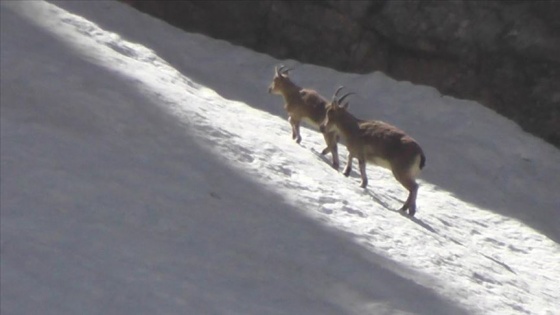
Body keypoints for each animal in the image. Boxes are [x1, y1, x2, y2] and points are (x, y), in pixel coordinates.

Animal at [322, 87, 426, 216]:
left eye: (330, 113)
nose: (322, 127)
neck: (355, 128)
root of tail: (420, 154)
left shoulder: (359, 151)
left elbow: (355, 160)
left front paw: (351, 176)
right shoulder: (359, 154)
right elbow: (354, 159)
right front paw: (358, 180)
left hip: (401, 171)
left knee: (414, 187)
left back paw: (403, 209)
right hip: (410, 173)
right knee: (414, 187)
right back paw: (410, 210)